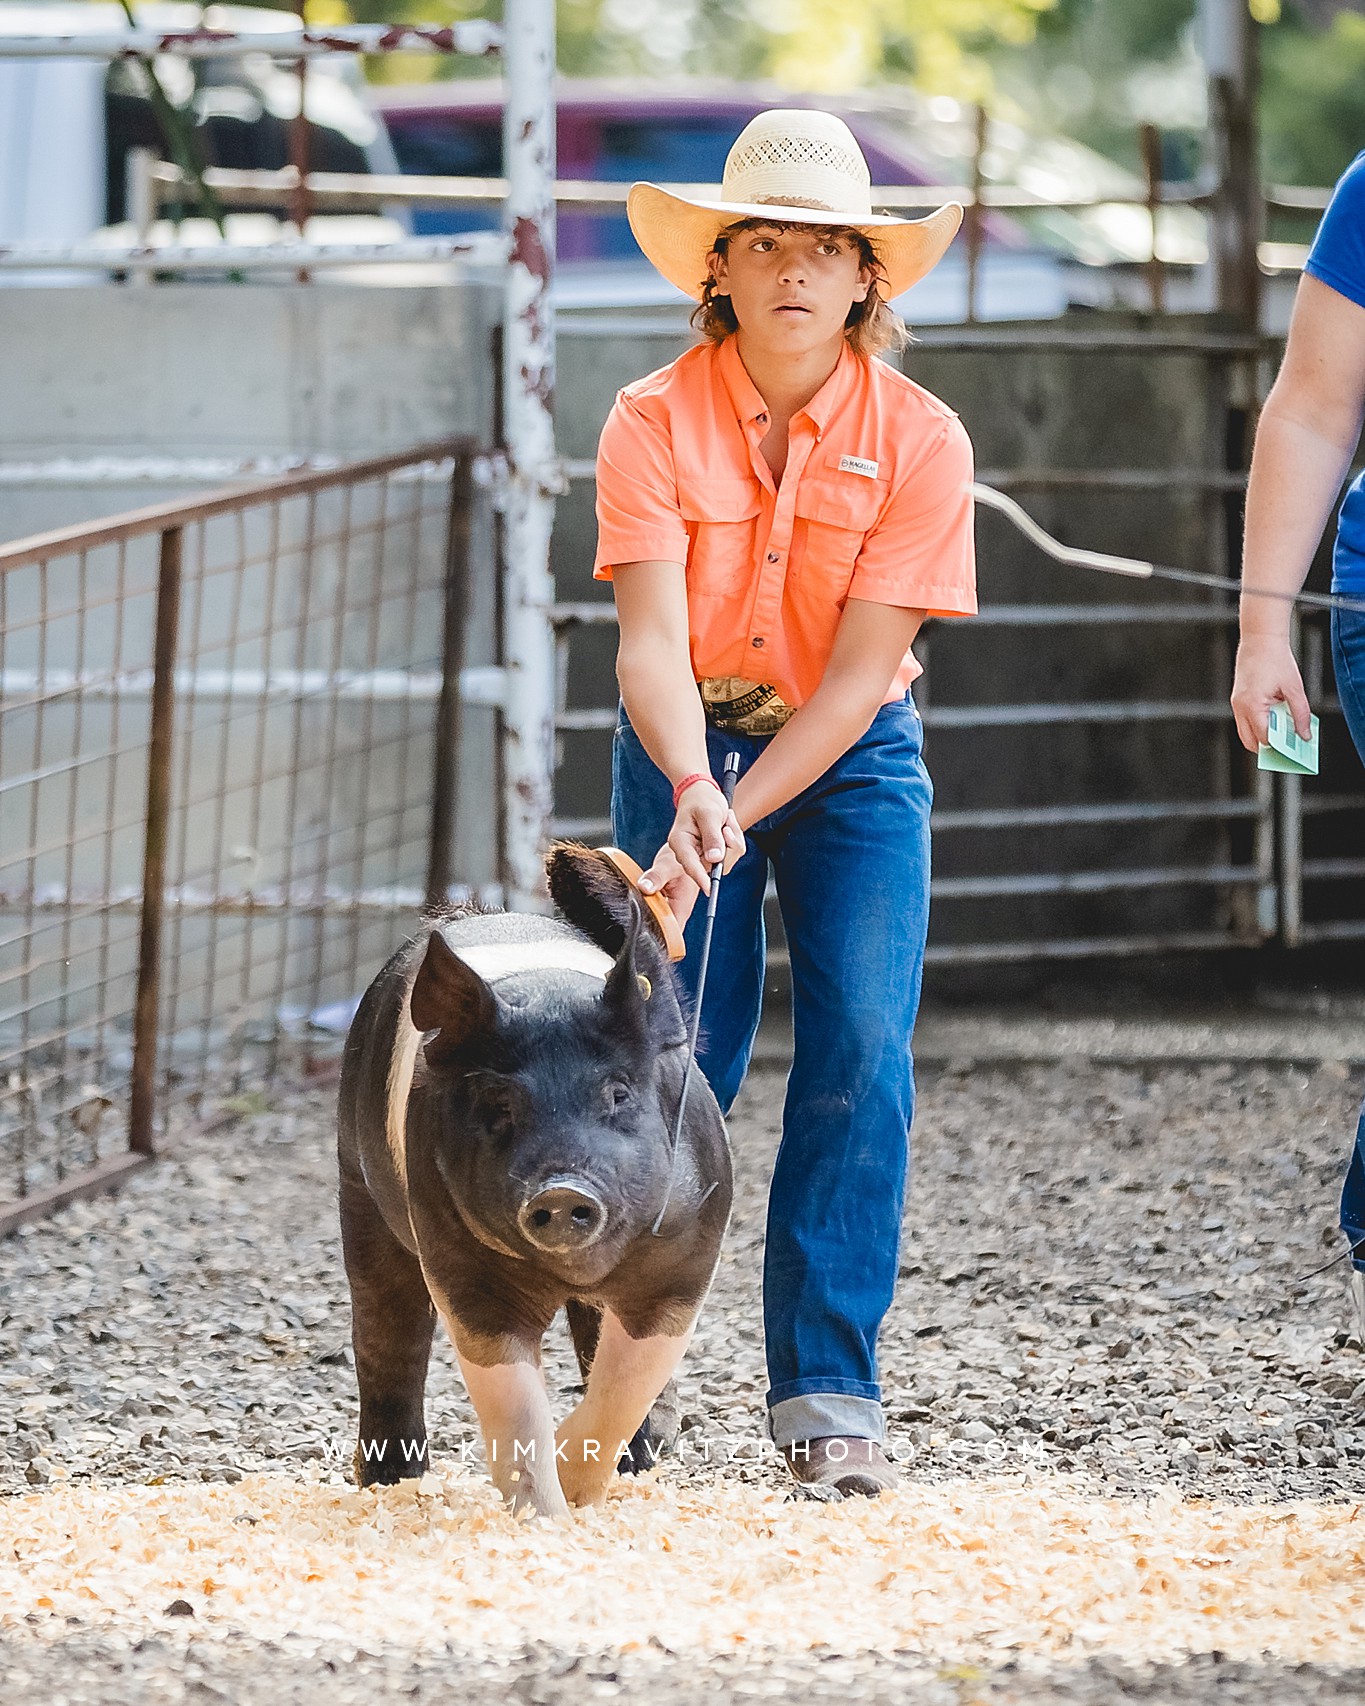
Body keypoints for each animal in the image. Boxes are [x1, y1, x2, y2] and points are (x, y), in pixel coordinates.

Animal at [334, 839, 730, 1521]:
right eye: (499, 1107)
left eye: (618, 1093)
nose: (562, 1189)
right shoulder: (460, 1266)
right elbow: (515, 1407)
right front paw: (546, 1518)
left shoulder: (686, 1257)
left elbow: (627, 1379)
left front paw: (582, 1486)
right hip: (360, 1191)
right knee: (387, 1332)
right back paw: (391, 1483)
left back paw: (643, 1455)